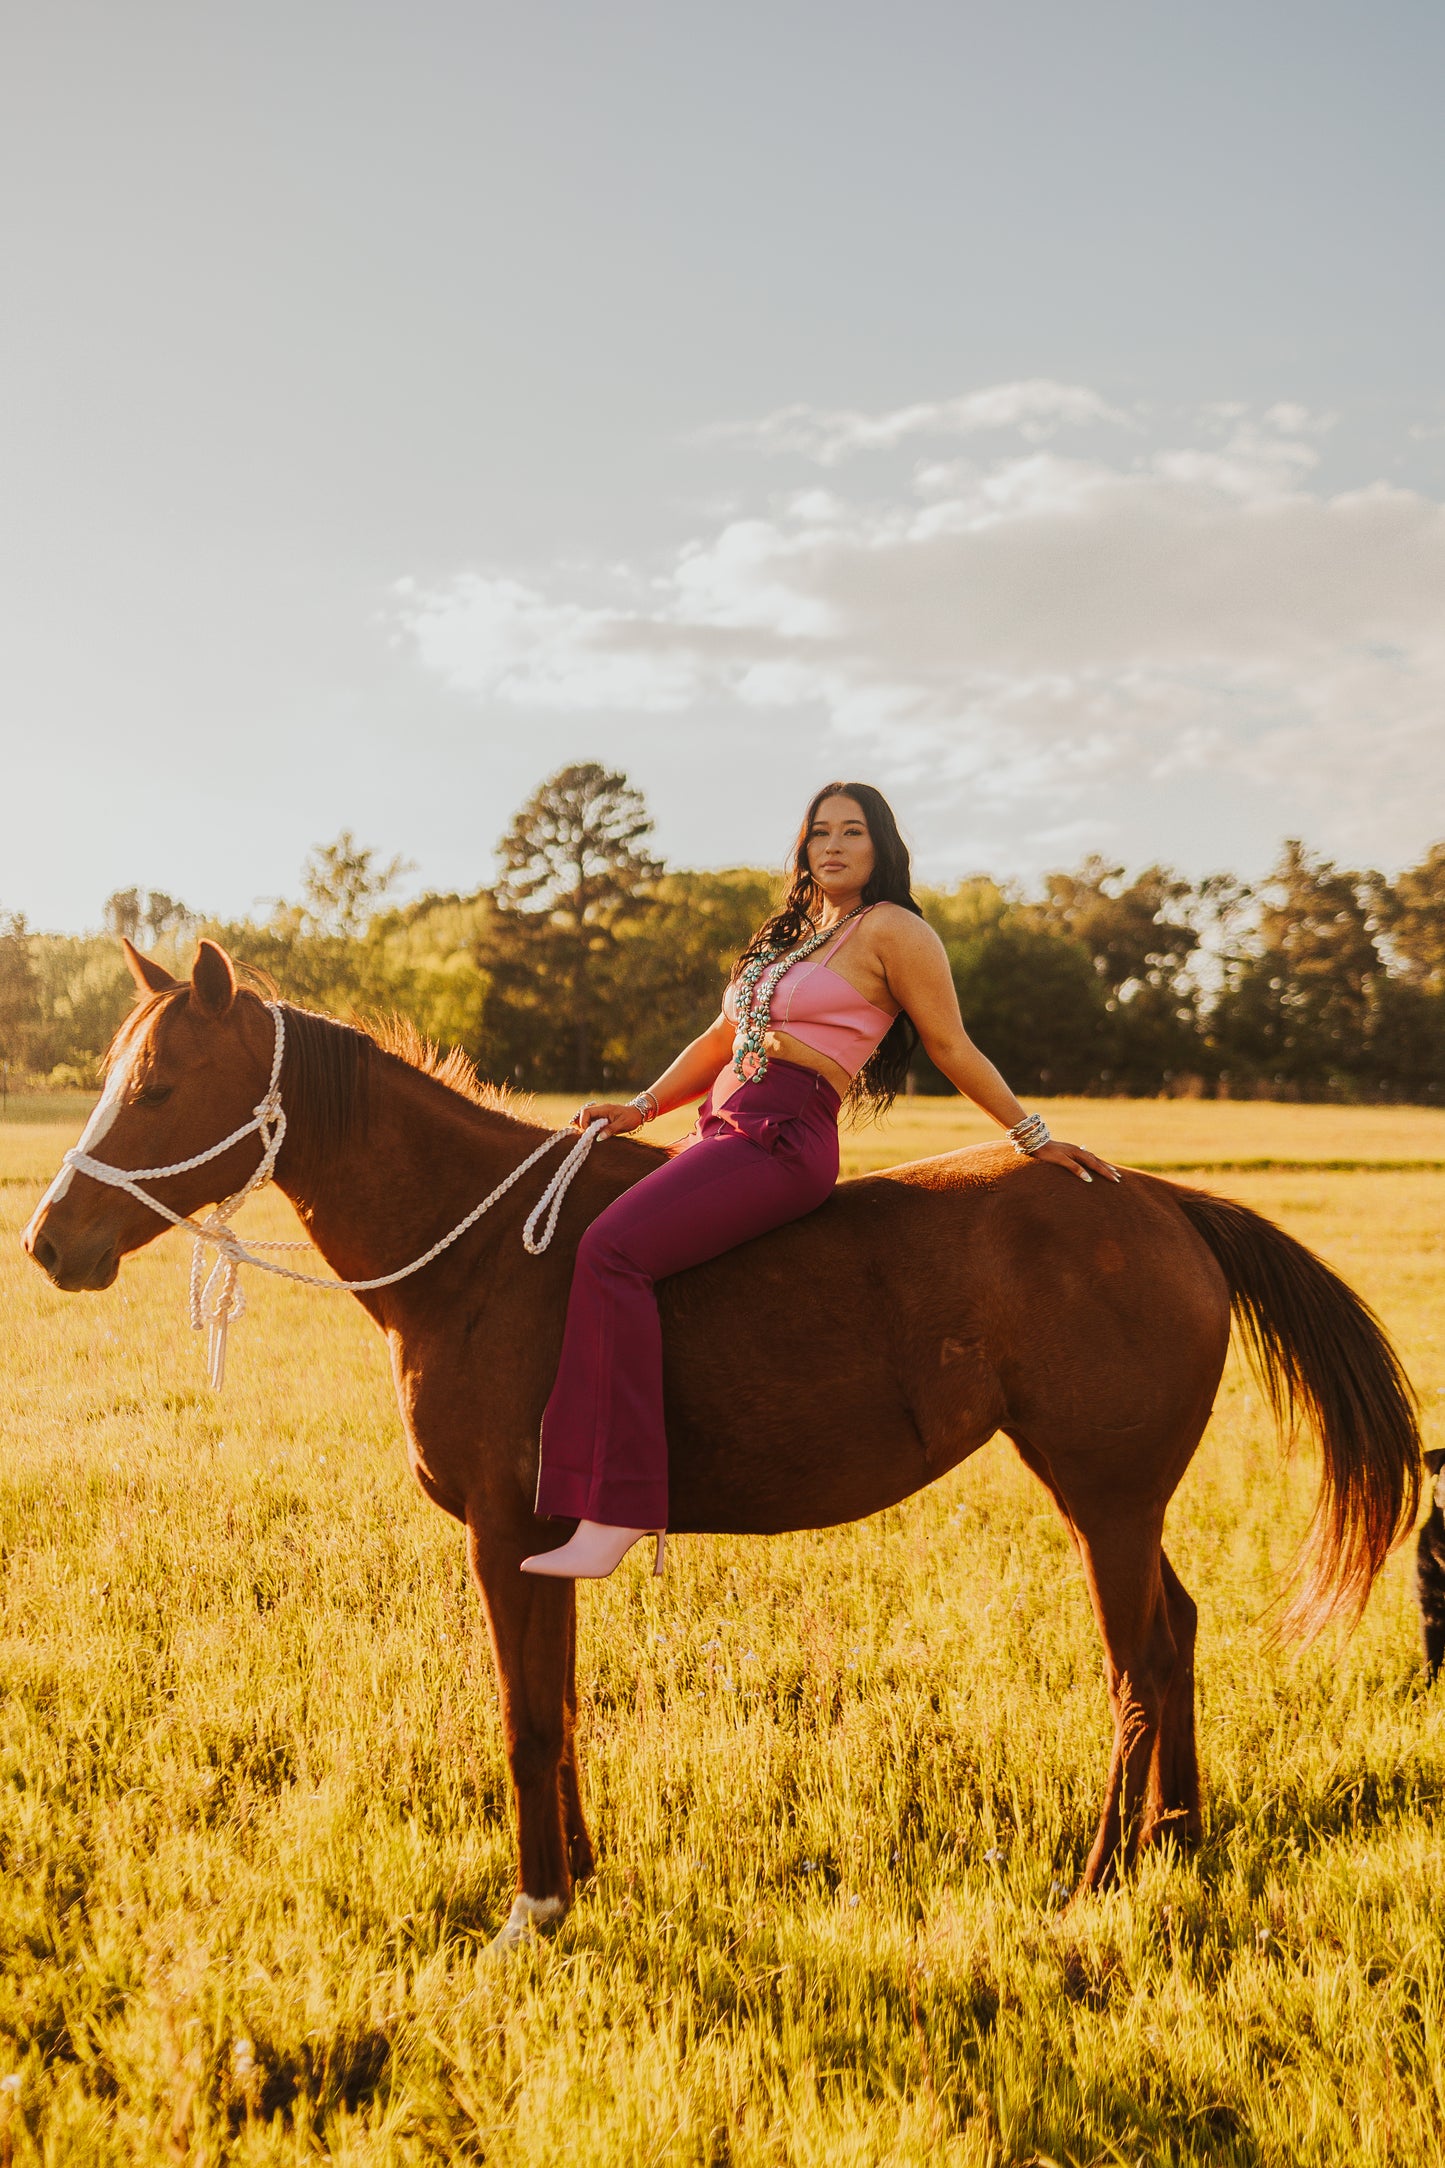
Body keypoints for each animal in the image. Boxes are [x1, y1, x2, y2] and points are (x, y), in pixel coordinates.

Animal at [22, 940, 1421, 1942]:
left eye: (154, 1087)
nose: (48, 1239)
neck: (483, 1259)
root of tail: (1152, 1199)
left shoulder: (500, 1535)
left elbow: (522, 1717)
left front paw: (532, 1907)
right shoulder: (546, 1543)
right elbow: (558, 1705)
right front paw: (577, 1876)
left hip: (1105, 1501)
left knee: (1134, 1664)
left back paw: (1098, 1873)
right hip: (1124, 1502)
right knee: (1174, 1636)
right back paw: (1178, 1840)